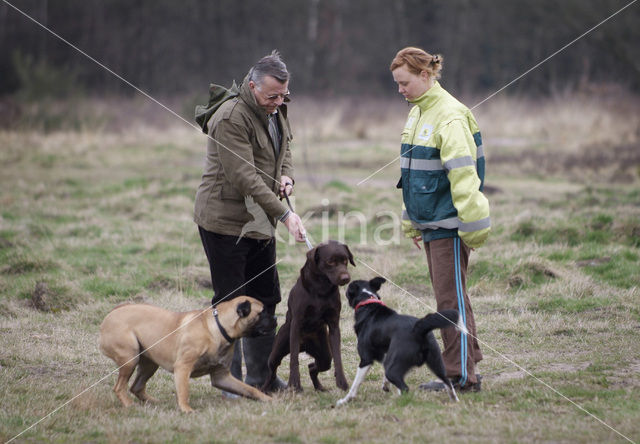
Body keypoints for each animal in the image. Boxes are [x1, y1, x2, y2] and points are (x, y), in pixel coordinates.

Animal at [99, 296, 274, 412]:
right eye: (262, 313)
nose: (275, 319)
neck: (218, 327)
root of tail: (112, 313)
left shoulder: (222, 377)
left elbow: (249, 389)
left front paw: (267, 398)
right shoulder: (183, 368)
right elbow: (184, 391)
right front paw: (186, 409)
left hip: (149, 364)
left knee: (136, 387)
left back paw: (153, 402)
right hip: (130, 359)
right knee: (119, 387)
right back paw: (129, 405)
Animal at [338, 278, 468, 406]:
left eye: (349, 288)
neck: (367, 301)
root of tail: (418, 329)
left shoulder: (366, 359)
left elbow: (355, 385)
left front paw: (345, 400)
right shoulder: (385, 355)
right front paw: (386, 385)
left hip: (393, 368)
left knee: (405, 387)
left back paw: (397, 402)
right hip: (436, 363)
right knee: (448, 382)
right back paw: (454, 400)